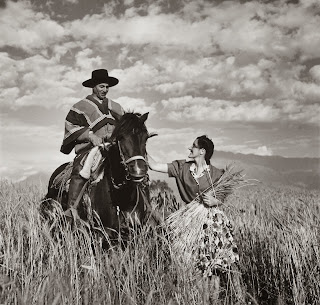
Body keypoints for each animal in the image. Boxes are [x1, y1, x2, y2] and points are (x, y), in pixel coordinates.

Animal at [42, 111, 157, 242]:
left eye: (145, 138)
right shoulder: (102, 233)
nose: (138, 170)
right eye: (120, 137)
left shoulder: (133, 231)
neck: (123, 197)